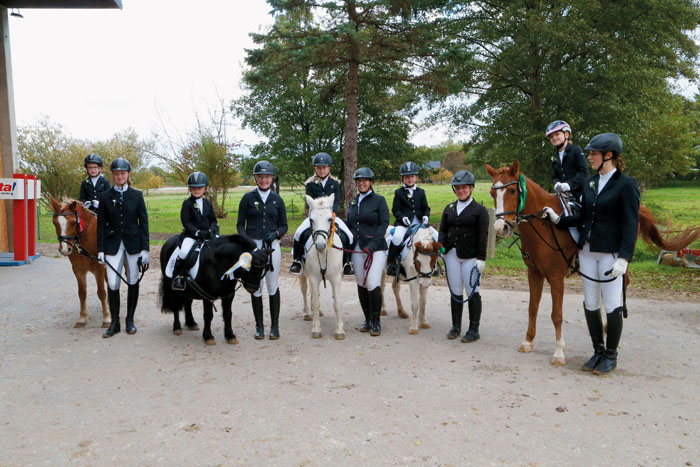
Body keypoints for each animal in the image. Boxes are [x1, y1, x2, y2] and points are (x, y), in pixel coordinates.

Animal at [49, 197, 108, 330]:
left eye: (72, 222)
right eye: (55, 223)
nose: (65, 249)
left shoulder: (99, 268)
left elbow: (101, 292)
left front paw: (107, 319)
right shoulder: (78, 269)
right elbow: (82, 293)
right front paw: (82, 319)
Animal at [298, 194, 348, 340]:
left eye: (330, 219)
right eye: (311, 219)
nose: (320, 245)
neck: (324, 253)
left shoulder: (336, 278)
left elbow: (337, 302)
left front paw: (339, 330)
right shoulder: (314, 278)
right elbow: (315, 302)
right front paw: (316, 329)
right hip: (303, 274)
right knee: (304, 291)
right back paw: (308, 314)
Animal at [486, 160, 700, 366]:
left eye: (512, 191)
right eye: (492, 193)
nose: (501, 228)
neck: (545, 226)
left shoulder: (555, 276)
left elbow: (557, 314)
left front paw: (559, 353)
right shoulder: (534, 273)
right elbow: (532, 308)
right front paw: (527, 342)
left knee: (622, 284)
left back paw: (607, 326)